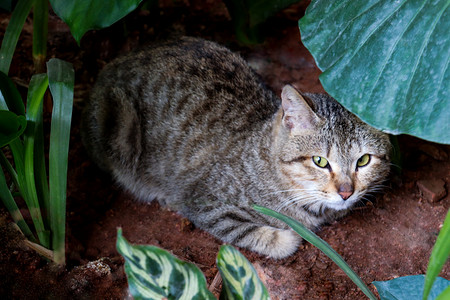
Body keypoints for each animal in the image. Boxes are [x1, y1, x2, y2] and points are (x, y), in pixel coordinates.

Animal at [82, 37, 392, 258]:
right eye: (320, 161)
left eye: (363, 160)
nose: (346, 192)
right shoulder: (207, 205)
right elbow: (271, 237)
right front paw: (290, 235)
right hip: (121, 129)